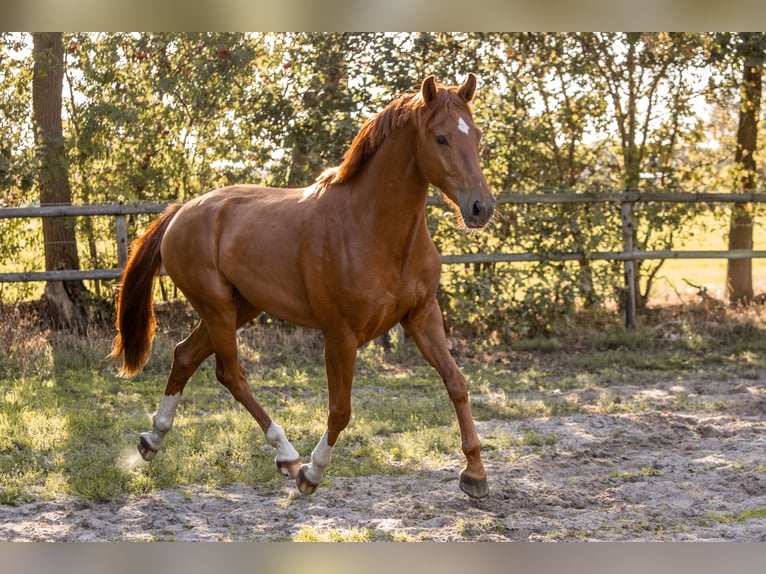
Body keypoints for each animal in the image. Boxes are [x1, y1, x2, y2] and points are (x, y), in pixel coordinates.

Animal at [110, 74, 495, 499]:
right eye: (441, 138)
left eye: (476, 135)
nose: (481, 208)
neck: (373, 228)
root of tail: (182, 211)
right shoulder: (340, 335)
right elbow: (340, 410)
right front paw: (312, 473)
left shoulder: (422, 316)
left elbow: (456, 383)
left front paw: (475, 474)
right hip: (217, 309)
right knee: (231, 374)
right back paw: (287, 454)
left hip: (239, 307)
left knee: (185, 356)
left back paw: (152, 440)